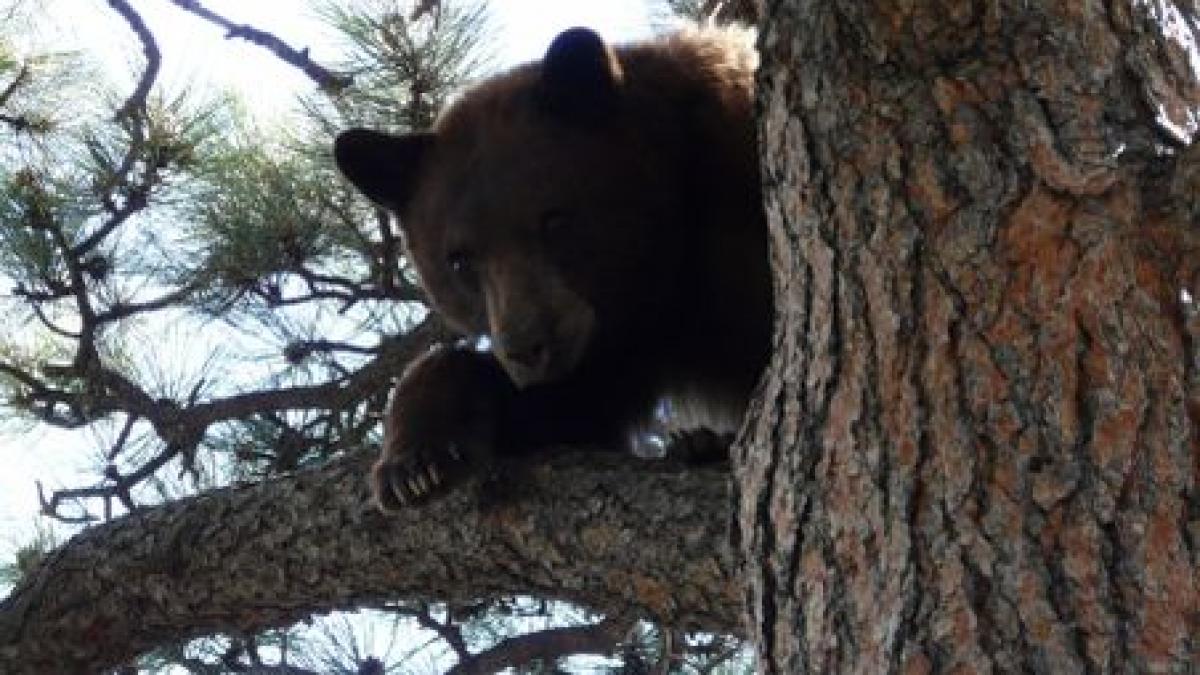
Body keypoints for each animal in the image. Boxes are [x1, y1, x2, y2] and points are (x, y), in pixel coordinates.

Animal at [333, 27, 772, 509]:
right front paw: (415, 464)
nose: (527, 348)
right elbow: (565, 410)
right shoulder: (623, 339)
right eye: (460, 260)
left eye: (554, 219)